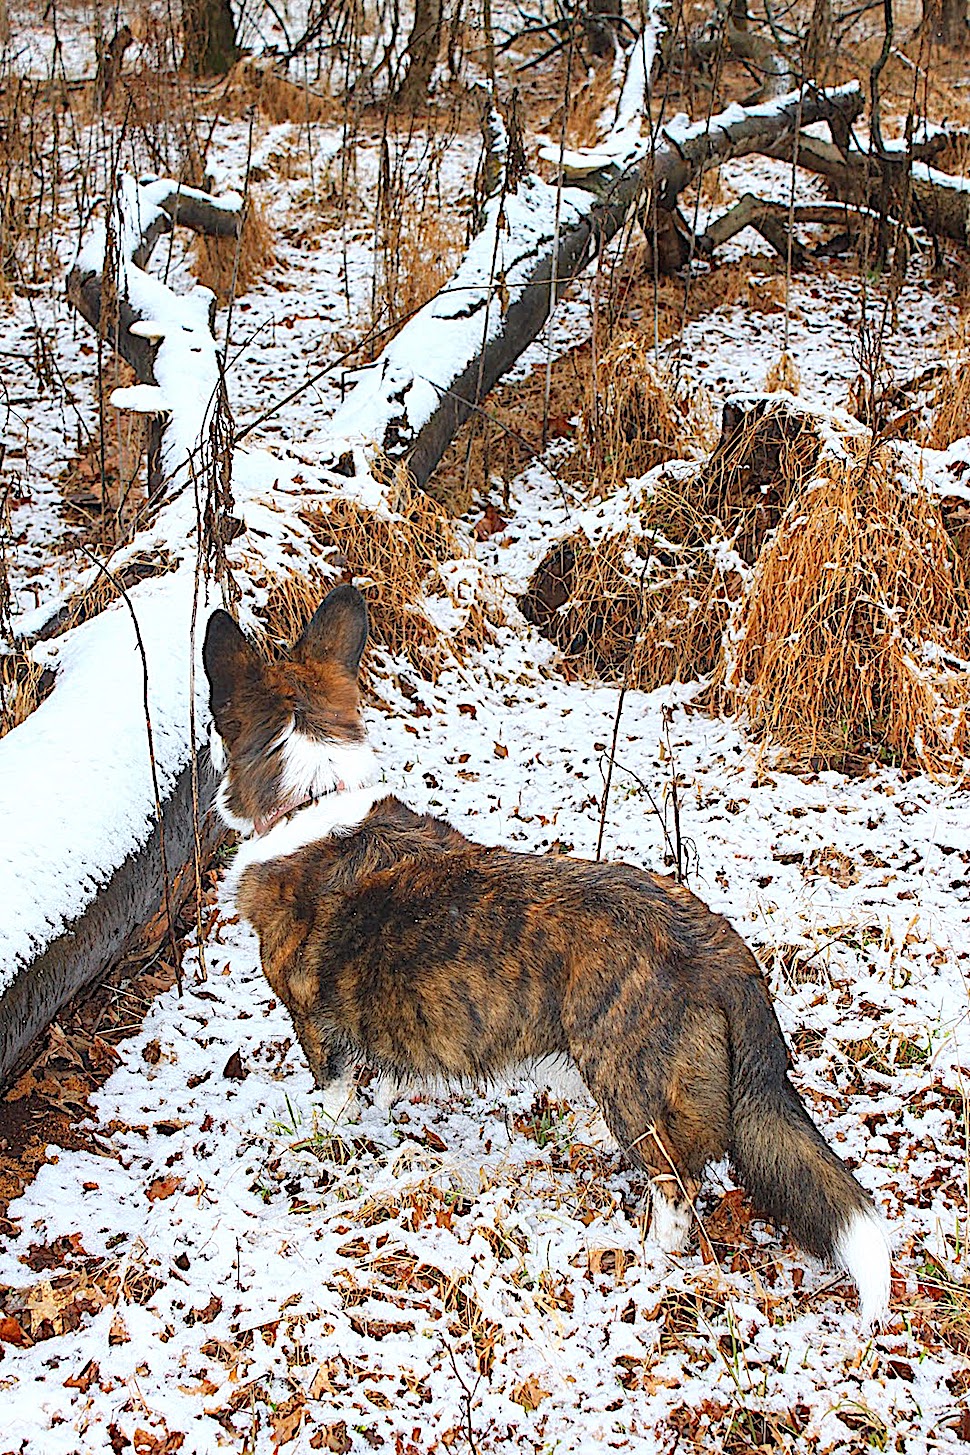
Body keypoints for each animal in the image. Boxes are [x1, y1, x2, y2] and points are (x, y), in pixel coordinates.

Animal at [205, 579, 895, 1321]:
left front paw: (324, 1146)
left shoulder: (316, 1026)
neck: (312, 796)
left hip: (631, 1089)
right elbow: (383, 1080)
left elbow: (332, 1102)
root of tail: (725, 954)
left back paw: (646, 1257)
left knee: (677, 1187)